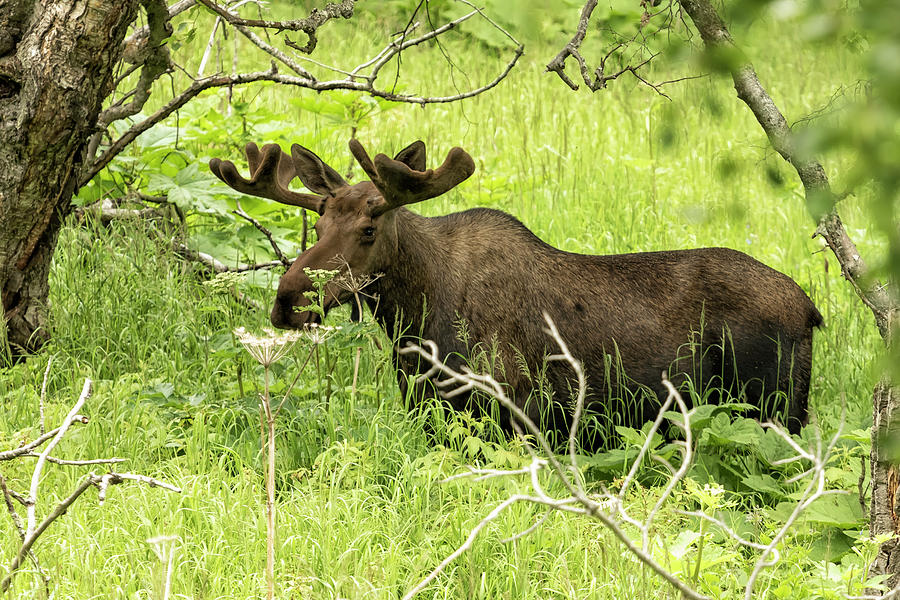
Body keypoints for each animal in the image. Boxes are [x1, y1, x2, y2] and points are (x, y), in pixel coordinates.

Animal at [211, 139, 824, 440]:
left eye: (368, 229)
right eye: (317, 226)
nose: (287, 299)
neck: (414, 323)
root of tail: (813, 312)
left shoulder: (520, 412)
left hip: (773, 409)